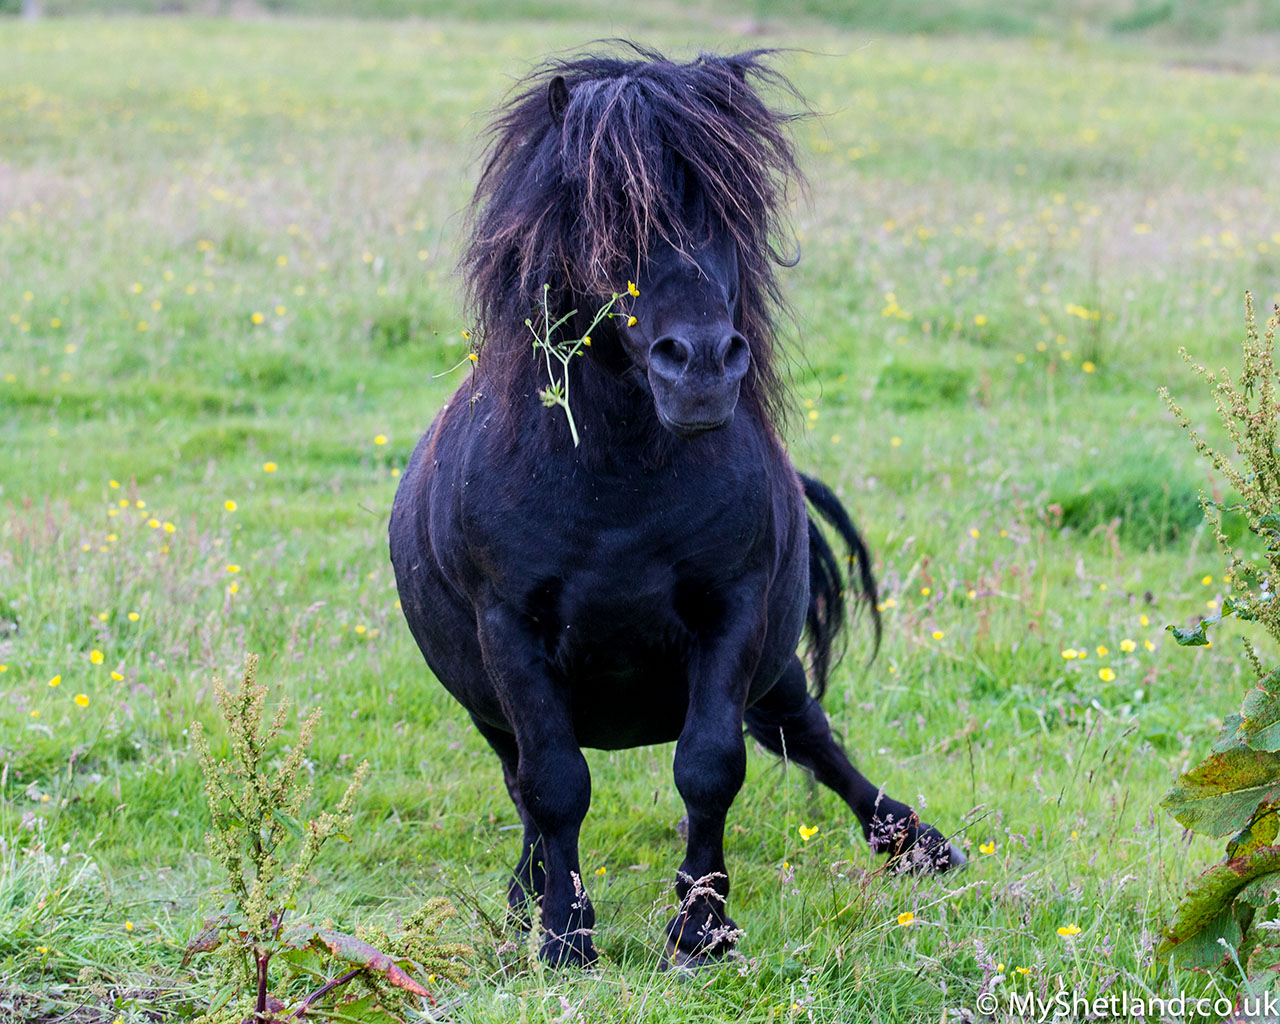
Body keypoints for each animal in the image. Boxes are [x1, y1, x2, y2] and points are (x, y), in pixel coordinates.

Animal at [389, 44, 964, 969]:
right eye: (605, 216)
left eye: (728, 209)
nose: (699, 366)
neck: (618, 492)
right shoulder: (509, 633)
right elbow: (554, 784)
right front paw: (564, 933)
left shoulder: (731, 613)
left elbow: (709, 767)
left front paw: (701, 929)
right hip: (487, 702)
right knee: (521, 783)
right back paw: (523, 895)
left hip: (775, 670)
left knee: (810, 736)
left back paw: (917, 844)